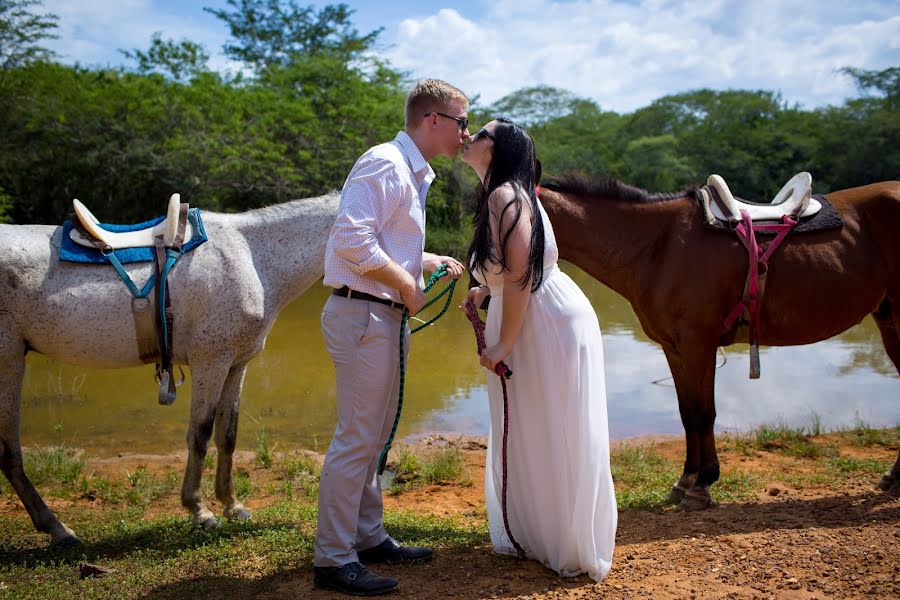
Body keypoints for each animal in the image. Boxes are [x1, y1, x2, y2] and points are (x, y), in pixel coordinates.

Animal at [0, 191, 342, 544]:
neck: (253, 257)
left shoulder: (236, 364)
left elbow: (228, 435)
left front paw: (232, 505)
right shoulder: (211, 362)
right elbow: (200, 434)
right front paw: (199, 510)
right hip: (9, 359)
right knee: (10, 453)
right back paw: (58, 528)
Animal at [536, 176, 896, 508]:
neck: (658, 246)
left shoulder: (699, 345)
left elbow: (704, 413)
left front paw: (702, 484)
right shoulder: (675, 348)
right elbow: (687, 413)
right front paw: (685, 480)